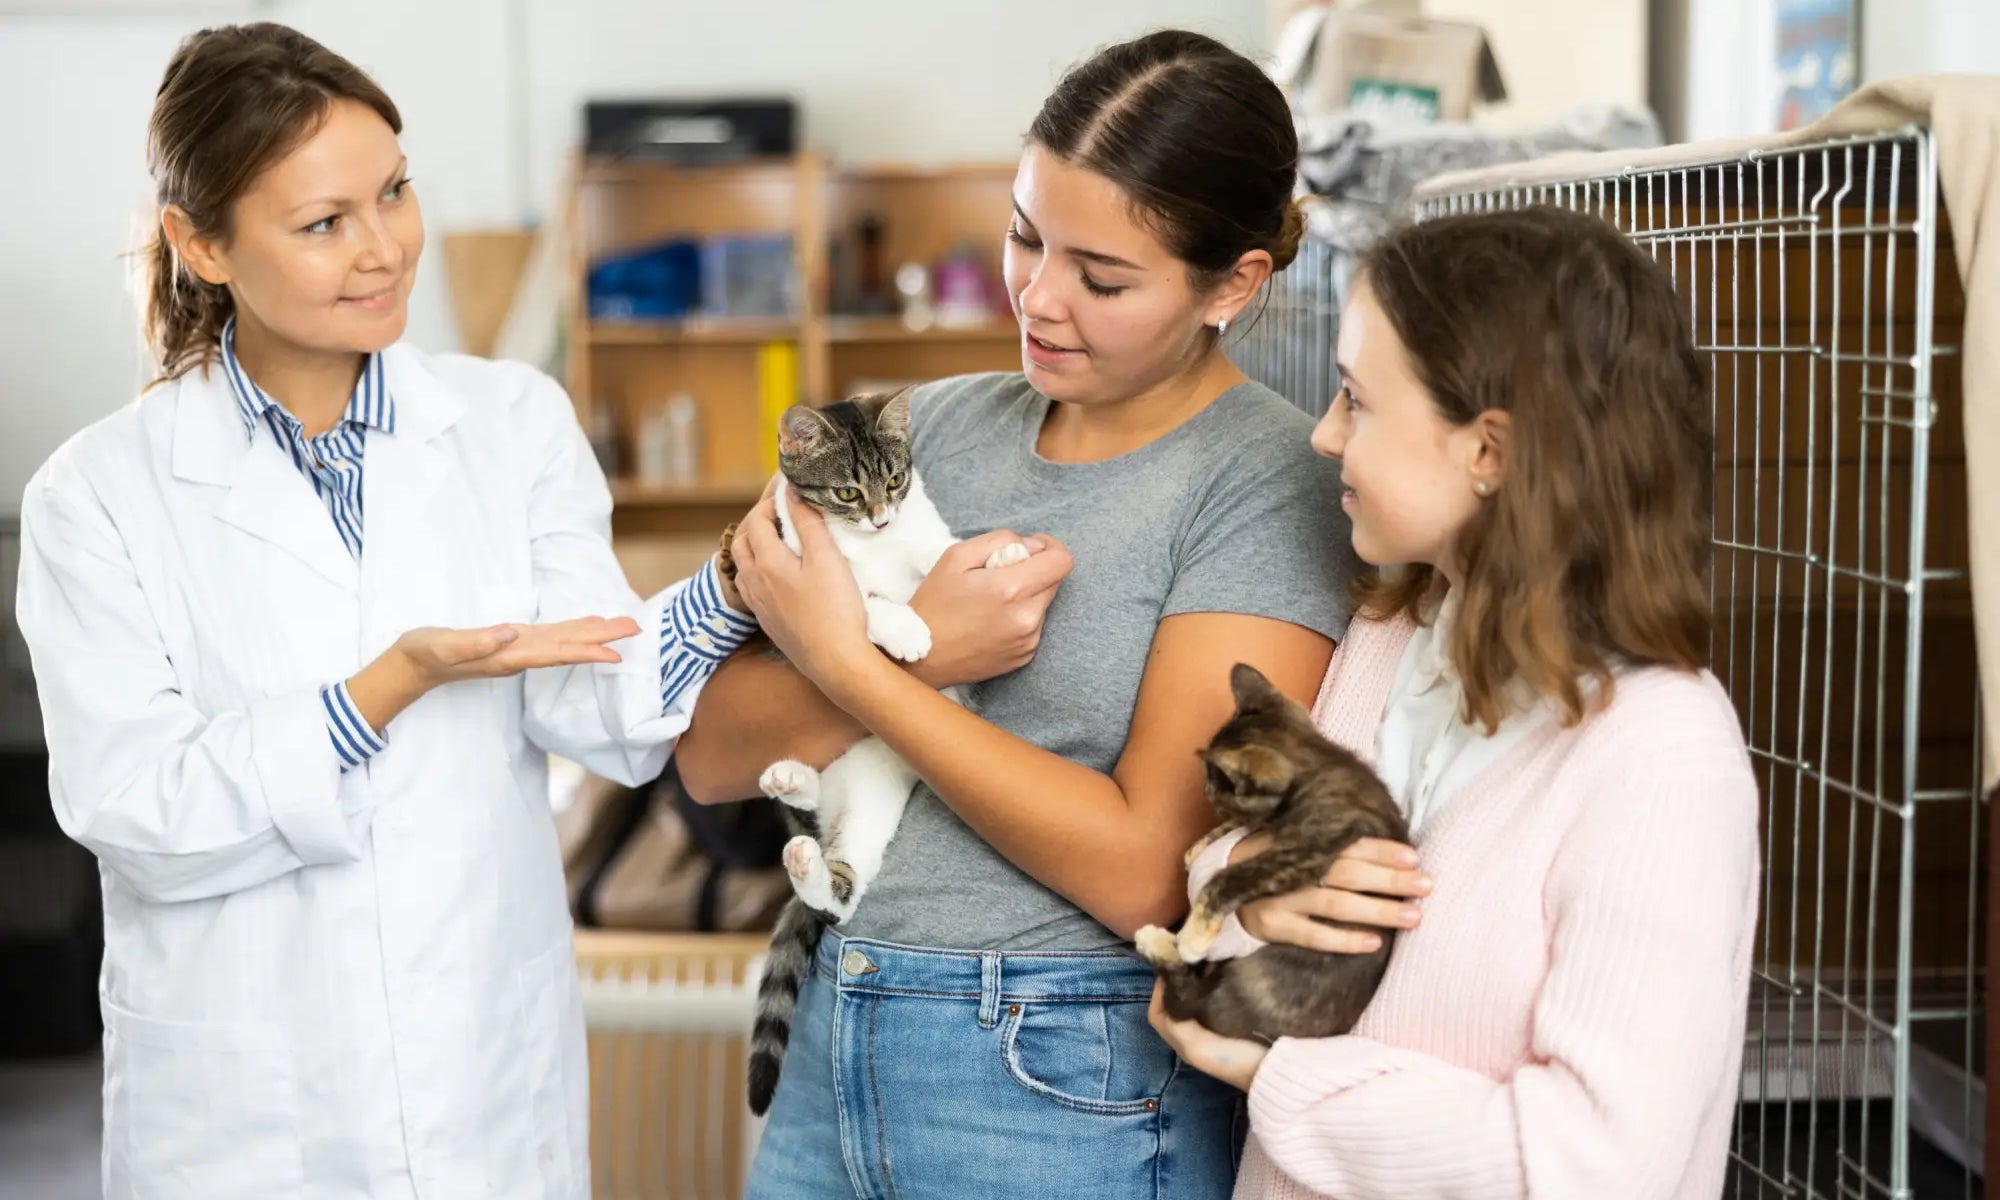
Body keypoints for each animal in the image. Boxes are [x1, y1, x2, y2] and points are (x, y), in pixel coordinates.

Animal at [740, 390, 1032, 1112]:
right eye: (847, 491)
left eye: (896, 480)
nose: (878, 518)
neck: (872, 544)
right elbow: (864, 600)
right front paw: (902, 626)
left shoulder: (923, 534)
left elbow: (947, 553)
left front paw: (1003, 557)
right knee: (835, 892)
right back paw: (795, 813)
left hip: (872, 803)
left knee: (842, 873)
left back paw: (796, 798)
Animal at [1144, 660, 1408, 1048]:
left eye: (1214, 783)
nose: (1207, 792)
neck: (1321, 762)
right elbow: (1246, 826)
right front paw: (1202, 845)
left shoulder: (1305, 850)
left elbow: (1228, 877)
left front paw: (1194, 935)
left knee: (1187, 999)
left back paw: (1161, 943)